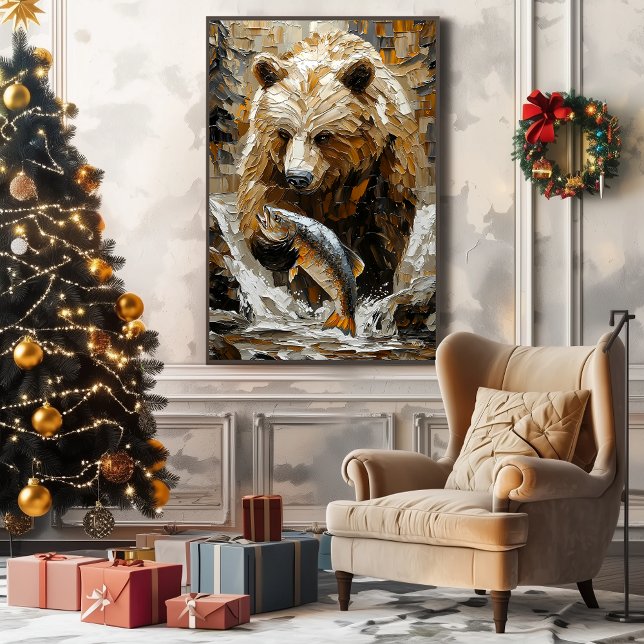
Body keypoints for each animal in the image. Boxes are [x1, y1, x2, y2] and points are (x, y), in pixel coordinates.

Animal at [237, 30, 428, 304]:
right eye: (284, 133)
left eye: (323, 136)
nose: (298, 178)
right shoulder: (269, 160)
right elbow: (260, 193)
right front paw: (275, 248)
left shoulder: (385, 168)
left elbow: (381, 241)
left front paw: (372, 291)